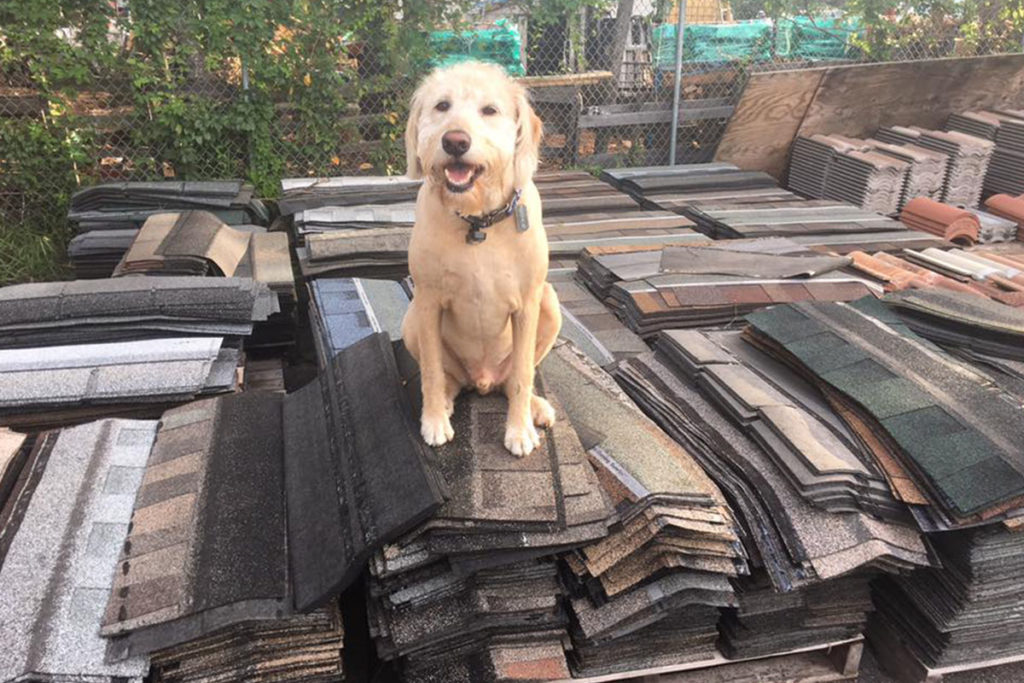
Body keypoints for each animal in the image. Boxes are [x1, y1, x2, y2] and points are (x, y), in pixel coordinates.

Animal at [399, 61, 565, 456]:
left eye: (490, 110)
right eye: (442, 106)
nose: (455, 141)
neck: (478, 222)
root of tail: (483, 380)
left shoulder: (528, 304)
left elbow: (523, 374)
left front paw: (518, 430)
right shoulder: (427, 303)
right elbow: (430, 371)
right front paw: (433, 420)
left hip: (550, 304)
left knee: (514, 378)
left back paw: (534, 407)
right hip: (411, 322)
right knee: (446, 376)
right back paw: (445, 399)